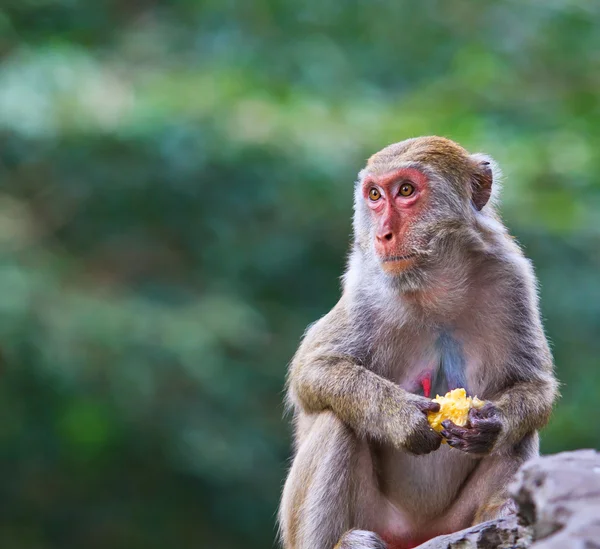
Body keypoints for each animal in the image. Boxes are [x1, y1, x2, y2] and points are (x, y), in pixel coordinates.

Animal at [278, 136, 560, 548]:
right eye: (375, 195)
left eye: (406, 191)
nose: (383, 235)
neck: (435, 287)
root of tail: (414, 534)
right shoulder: (364, 288)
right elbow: (312, 373)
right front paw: (403, 417)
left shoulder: (513, 279)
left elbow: (534, 385)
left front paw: (491, 424)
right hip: (368, 520)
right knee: (338, 421)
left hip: (452, 523)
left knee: (519, 437)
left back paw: (504, 516)